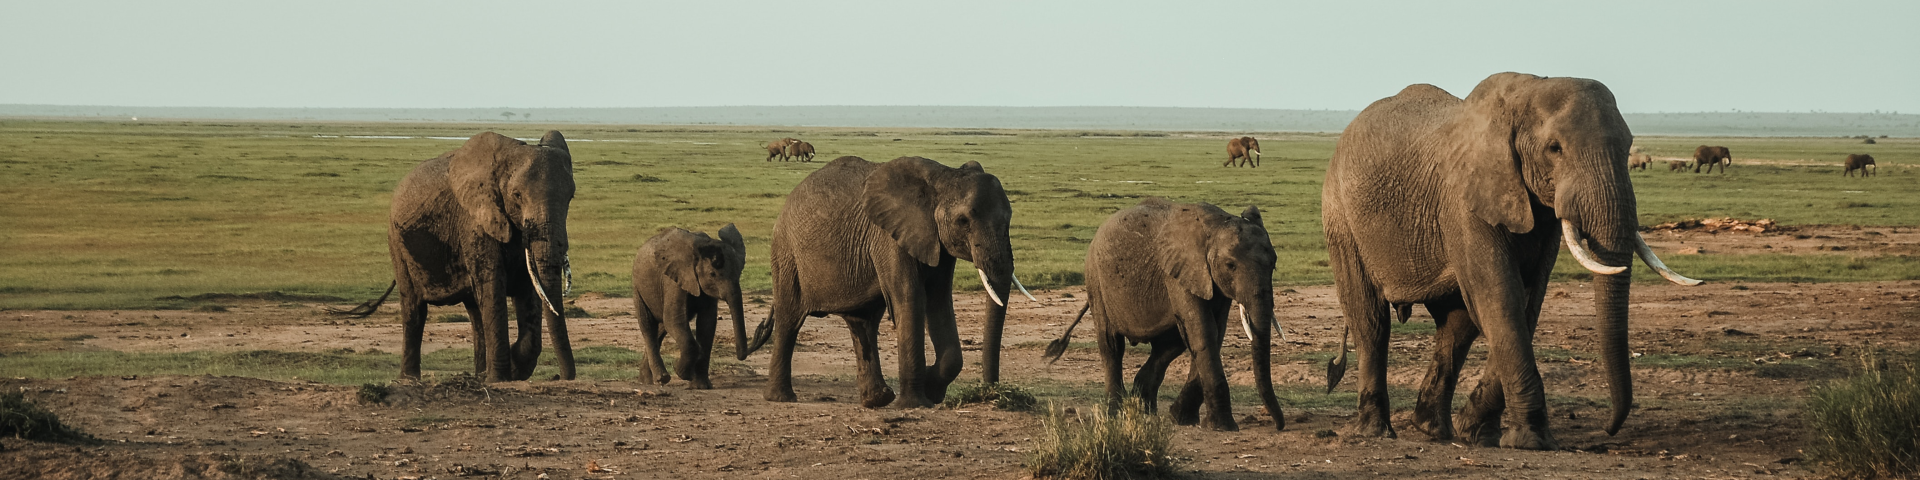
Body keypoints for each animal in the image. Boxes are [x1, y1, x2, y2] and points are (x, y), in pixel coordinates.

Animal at [330, 131, 578, 382]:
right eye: (516, 195)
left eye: (571, 196)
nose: (563, 377)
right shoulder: (473, 223)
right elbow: (493, 287)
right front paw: (500, 378)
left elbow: (528, 289)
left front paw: (510, 368)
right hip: (396, 242)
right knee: (414, 309)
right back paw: (410, 378)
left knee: (475, 312)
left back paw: (479, 374)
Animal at [632, 225, 747, 389]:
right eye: (712, 274)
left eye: (739, 273)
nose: (740, 355)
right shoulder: (674, 280)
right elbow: (674, 319)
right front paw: (681, 372)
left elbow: (707, 324)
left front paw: (701, 386)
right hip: (639, 287)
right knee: (649, 326)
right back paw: (661, 378)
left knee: (661, 328)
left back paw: (646, 380)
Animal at [743, 156, 1034, 409]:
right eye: (963, 221)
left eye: (1009, 218)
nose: (993, 392)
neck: (943, 177)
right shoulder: (888, 237)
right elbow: (910, 298)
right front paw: (916, 403)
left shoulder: (936, 242)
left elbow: (939, 301)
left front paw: (931, 390)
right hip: (786, 253)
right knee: (790, 319)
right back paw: (781, 398)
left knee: (862, 323)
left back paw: (877, 400)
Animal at [1041, 198, 1282, 431]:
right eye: (1230, 265)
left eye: (1273, 264)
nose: (1279, 425)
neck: (1216, 225)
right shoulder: (1178, 273)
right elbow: (1202, 331)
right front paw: (1222, 427)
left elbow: (1214, 332)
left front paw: (1181, 419)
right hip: (1095, 279)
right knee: (1112, 344)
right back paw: (1116, 413)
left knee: (1169, 345)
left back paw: (1143, 409)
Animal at [1320, 73, 1702, 450]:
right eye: (1555, 148)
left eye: (1627, 147)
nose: (1609, 430)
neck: (1527, 91)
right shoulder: (1464, 203)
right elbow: (1501, 298)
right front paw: (1531, 440)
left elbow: (1526, 303)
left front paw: (1478, 432)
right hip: (1341, 216)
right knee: (1371, 320)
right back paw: (1374, 432)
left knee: (1456, 327)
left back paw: (1432, 430)